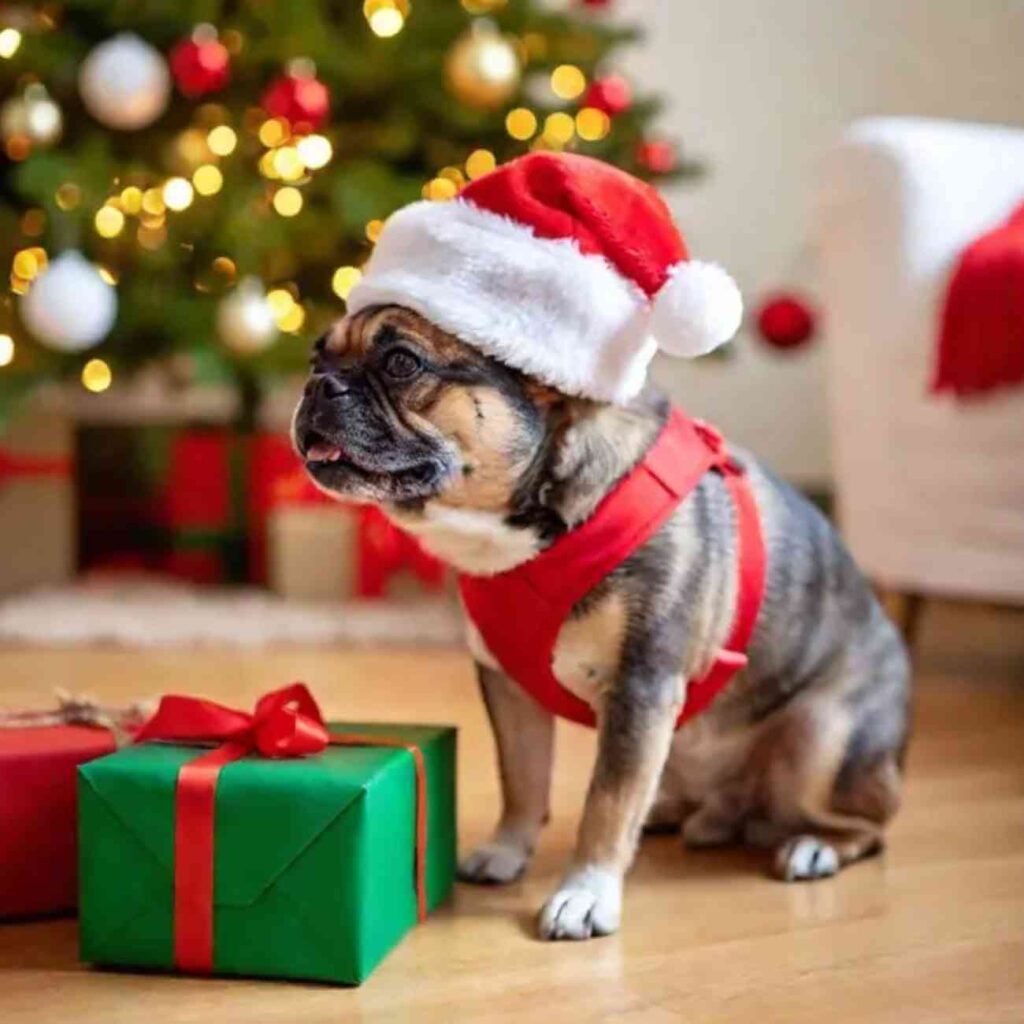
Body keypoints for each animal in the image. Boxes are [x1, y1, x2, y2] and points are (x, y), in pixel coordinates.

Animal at [292, 305, 909, 942]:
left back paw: (815, 845)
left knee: (872, 826)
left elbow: (607, 803)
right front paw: (507, 850)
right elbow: (523, 778)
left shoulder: (641, 687)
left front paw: (585, 893)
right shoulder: (511, 691)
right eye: (316, 357)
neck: (516, 539)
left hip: (822, 738)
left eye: (401, 362)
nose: (317, 385)